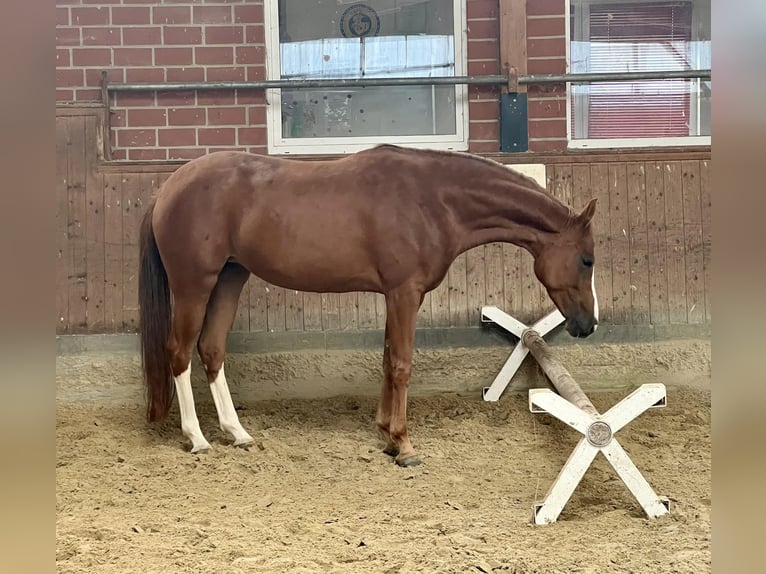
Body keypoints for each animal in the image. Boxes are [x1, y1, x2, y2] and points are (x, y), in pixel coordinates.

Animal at [141, 145, 604, 468]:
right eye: (587, 260)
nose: (589, 325)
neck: (432, 199)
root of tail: (168, 188)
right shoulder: (404, 293)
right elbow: (401, 364)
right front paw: (403, 444)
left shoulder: (394, 296)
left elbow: (385, 359)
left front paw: (385, 435)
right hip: (194, 284)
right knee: (179, 352)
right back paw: (197, 438)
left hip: (229, 279)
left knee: (211, 349)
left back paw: (236, 432)